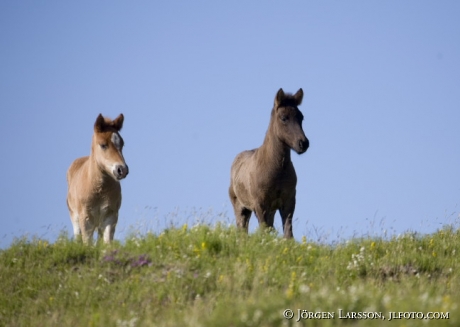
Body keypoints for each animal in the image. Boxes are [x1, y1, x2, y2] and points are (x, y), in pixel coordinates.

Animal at [65, 114, 128, 245]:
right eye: (103, 145)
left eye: (122, 144)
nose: (122, 170)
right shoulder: (86, 219)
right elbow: (87, 244)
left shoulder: (110, 216)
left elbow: (106, 243)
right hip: (75, 219)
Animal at [227, 89, 308, 238]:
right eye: (284, 118)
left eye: (301, 117)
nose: (303, 143)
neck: (276, 169)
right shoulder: (260, 204)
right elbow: (263, 232)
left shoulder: (288, 201)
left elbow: (288, 233)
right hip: (241, 208)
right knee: (242, 231)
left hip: (270, 210)